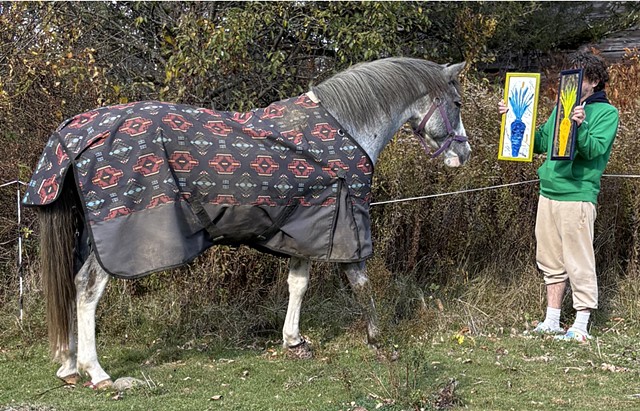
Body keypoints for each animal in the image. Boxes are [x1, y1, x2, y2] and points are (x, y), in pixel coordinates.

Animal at [23, 57, 471, 389]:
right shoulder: (347, 222)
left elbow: (297, 283)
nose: (463, 155)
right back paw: (96, 372)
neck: (348, 130)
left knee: (69, 284)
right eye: (457, 104)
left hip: (86, 235)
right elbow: (360, 283)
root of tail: (76, 134)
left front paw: (294, 341)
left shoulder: (306, 225)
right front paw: (379, 341)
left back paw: (68, 367)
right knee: (86, 288)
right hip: (110, 240)